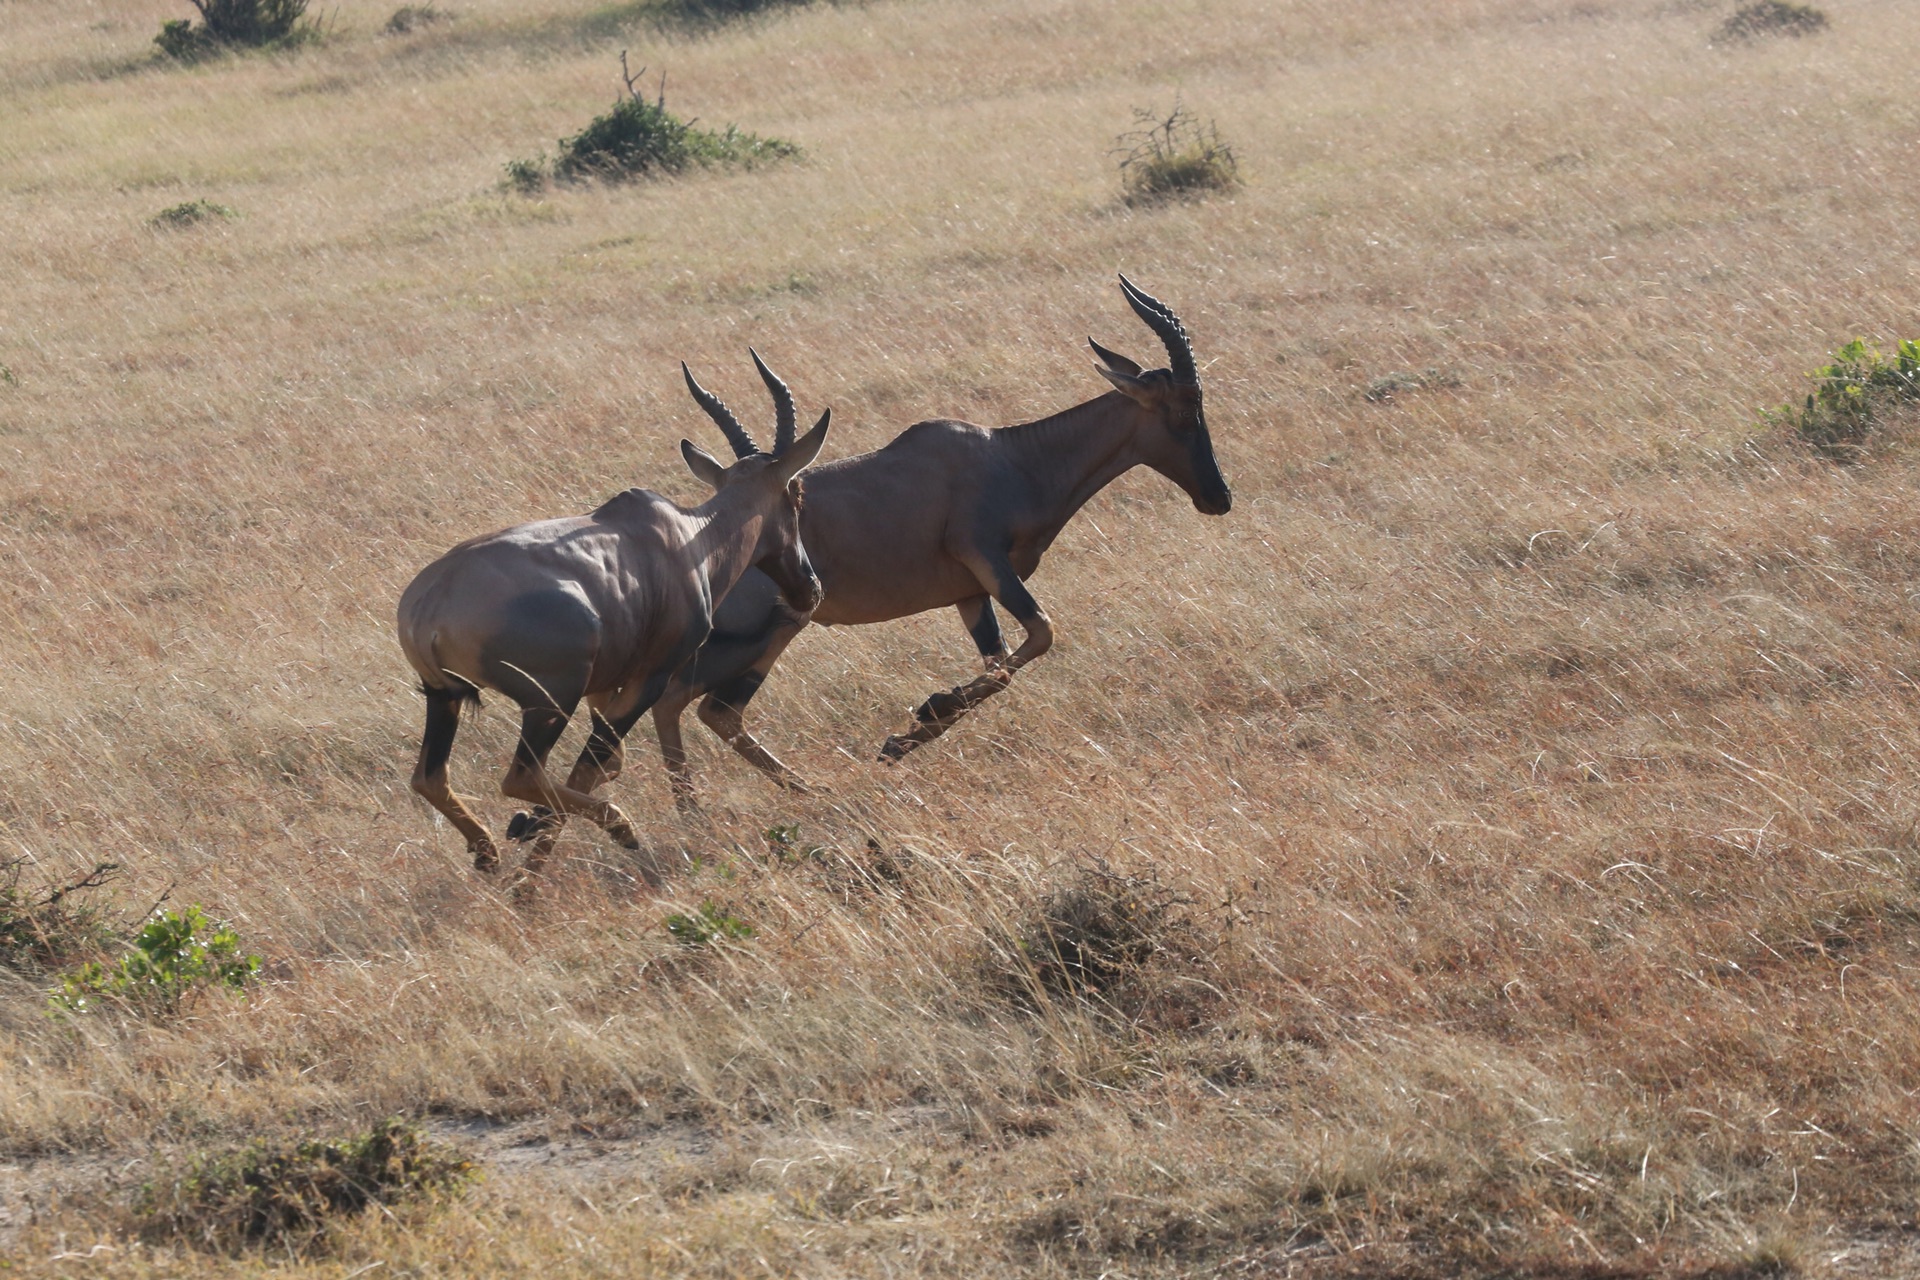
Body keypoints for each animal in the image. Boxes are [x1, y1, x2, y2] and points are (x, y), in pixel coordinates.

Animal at [397, 355, 825, 886]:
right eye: (796, 493)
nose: (809, 588)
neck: (685, 537)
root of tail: (430, 604)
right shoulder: (649, 679)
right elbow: (587, 768)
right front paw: (534, 870)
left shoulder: (604, 688)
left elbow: (608, 764)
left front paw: (528, 833)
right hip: (549, 701)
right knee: (521, 776)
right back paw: (615, 831)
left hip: (444, 696)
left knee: (430, 778)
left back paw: (488, 853)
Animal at [656, 276, 1228, 805]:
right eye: (1185, 408)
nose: (1219, 496)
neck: (1008, 456)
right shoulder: (986, 559)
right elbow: (1041, 634)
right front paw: (919, 717)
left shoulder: (969, 593)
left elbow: (999, 664)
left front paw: (906, 735)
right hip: (766, 629)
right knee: (703, 706)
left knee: (696, 706)